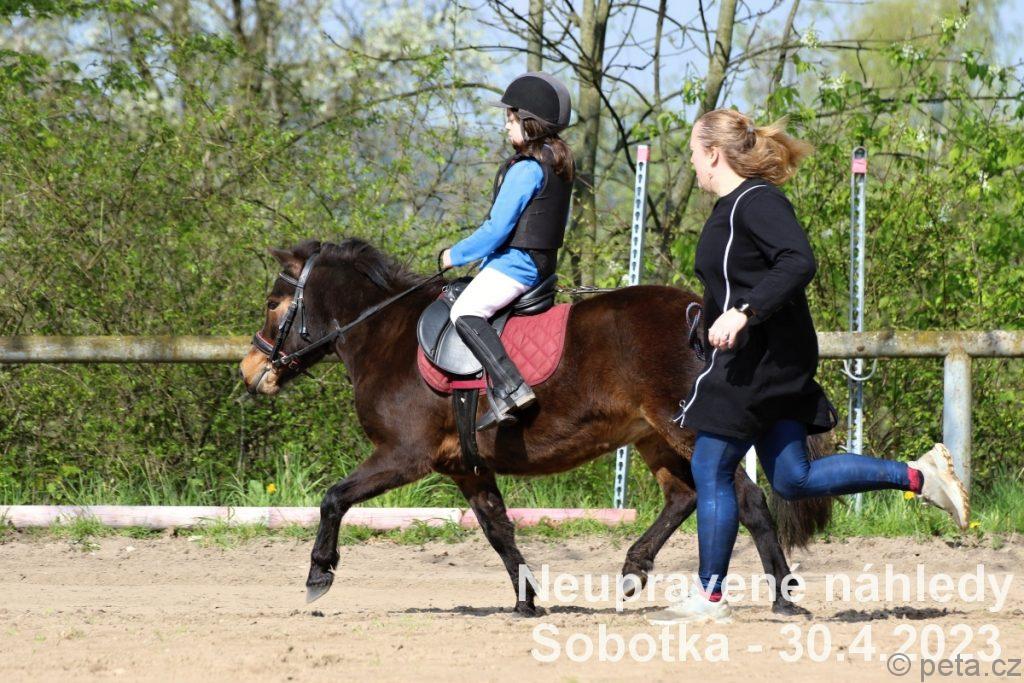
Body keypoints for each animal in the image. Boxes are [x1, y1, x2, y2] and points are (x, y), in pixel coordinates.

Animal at [239, 237, 833, 617]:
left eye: (273, 303)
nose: (251, 372)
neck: (386, 336)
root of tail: (704, 316)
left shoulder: (404, 455)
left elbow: (334, 498)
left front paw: (319, 575)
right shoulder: (464, 467)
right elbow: (498, 529)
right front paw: (526, 601)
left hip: (682, 431)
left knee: (745, 501)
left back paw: (783, 598)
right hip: (652, 436)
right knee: (684, 496)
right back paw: (634, 569)